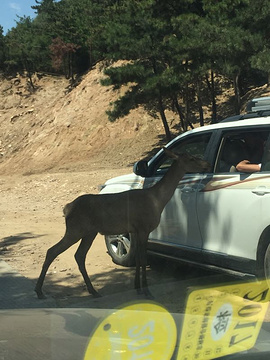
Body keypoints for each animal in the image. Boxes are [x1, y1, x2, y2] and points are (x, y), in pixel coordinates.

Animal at [34, 148, 210, 300]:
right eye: (191, 158)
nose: (206, 164)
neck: (157, 201)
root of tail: (66, 208)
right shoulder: (144, 227)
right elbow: (143, 259)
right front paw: (147, 291)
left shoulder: (136, 230)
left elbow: (138, 259)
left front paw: (137, 287)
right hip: (76, 229)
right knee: (52, 251)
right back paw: (39, 291)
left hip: (89, 232)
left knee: (79, 255)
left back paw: (93, 290)